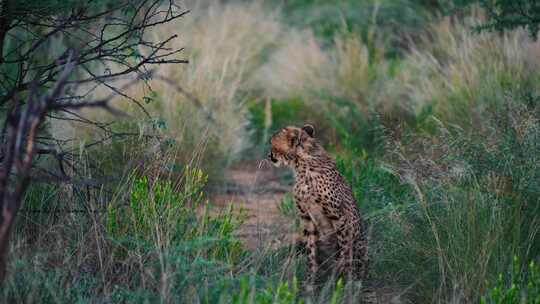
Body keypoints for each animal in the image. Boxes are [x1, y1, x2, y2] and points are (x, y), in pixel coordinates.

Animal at [268, 124, 370, 284]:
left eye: (273, 144)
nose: (269, 155)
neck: (302, 165)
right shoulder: (306, 217)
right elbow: (311, 252)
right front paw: (310, 279)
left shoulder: (338, 217)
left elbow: (344, 249)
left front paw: (345, 279)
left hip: (360, 244)